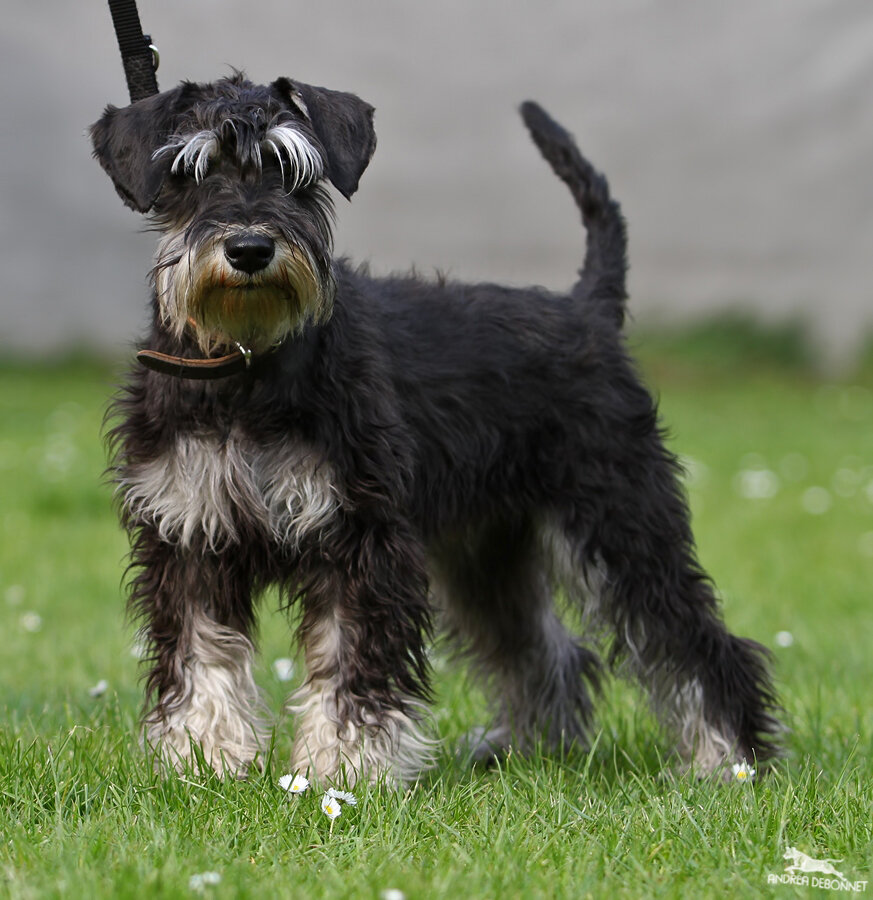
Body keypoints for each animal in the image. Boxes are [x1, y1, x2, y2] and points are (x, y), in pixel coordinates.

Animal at [92, 74, 780, 784]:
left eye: (294, 174)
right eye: (192, 172)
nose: (250, 249)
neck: (246, 363)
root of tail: (587, 308)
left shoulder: (360, 538)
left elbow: (351, 656)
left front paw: (344, 768)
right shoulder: (189, 535)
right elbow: (200, 655)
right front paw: (201, 756)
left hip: (619, 525)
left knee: (692, 639)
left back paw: (728, 761)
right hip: (486, 554)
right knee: (540, 650)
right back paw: (528, 749)